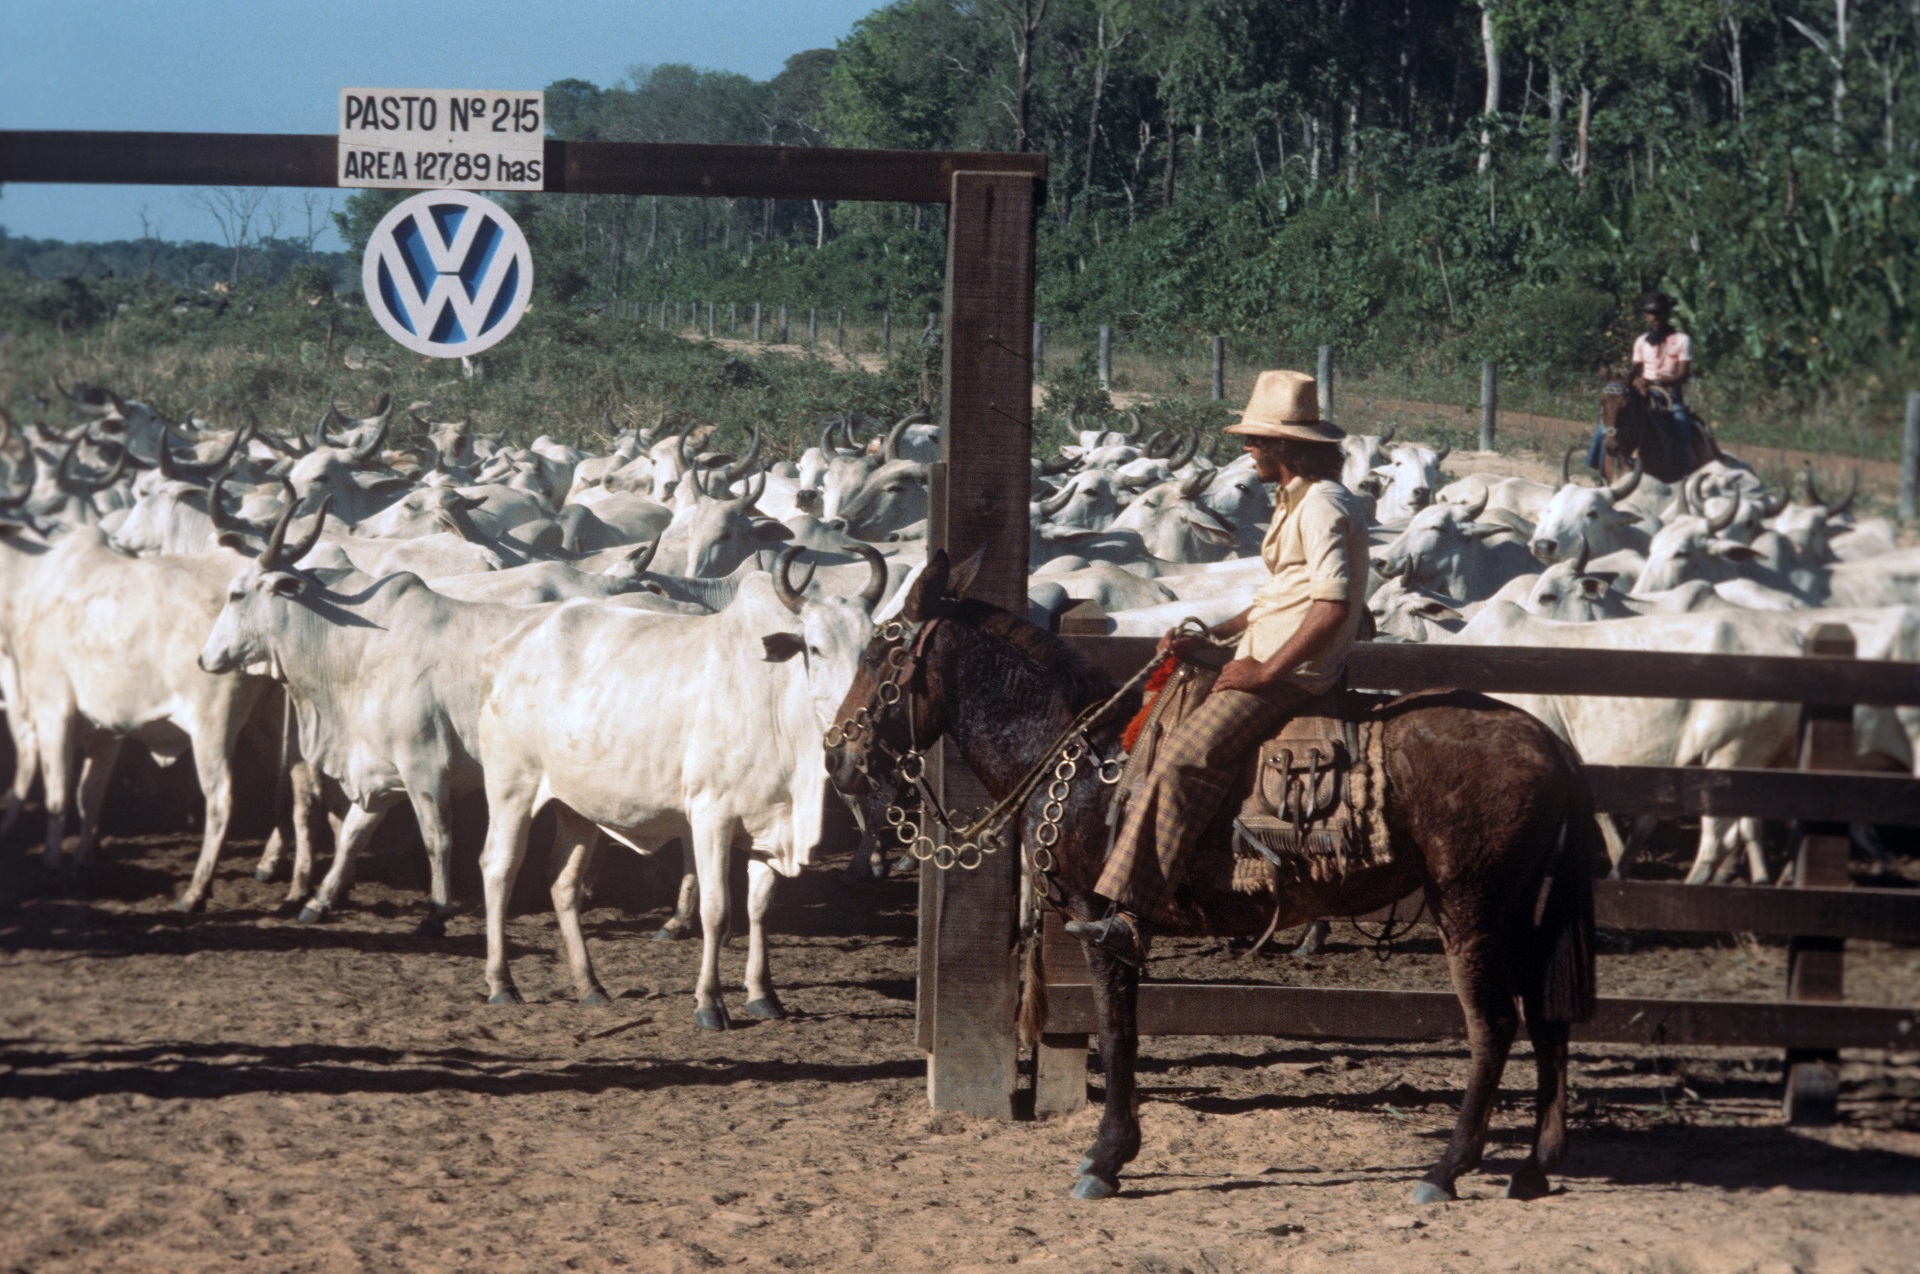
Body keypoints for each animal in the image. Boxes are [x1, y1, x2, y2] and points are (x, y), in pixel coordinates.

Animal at [833, 548, 1597, 1204]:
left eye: (879, 653)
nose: (838, 756)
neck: (1081, 754)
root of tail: (1549, 742)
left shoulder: (1101, 916)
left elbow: (1116, 1031)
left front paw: (1106, 1158)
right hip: (1526, 914)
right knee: (1547, 1023)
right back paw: (1531, 1169)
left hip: (1471, 906)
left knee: (1494, 1026)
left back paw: (1446, 1170)